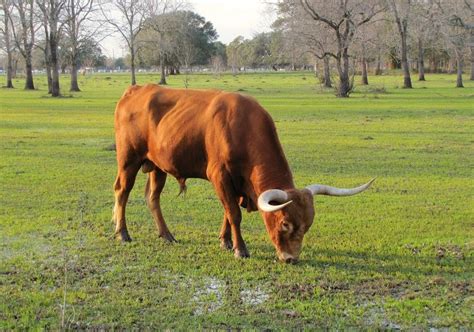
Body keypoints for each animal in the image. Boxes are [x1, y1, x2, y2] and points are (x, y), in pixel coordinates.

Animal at [112, 84, 374, 264]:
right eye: (285, 223)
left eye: (308, 224)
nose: (291, 258)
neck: (242, 127)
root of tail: (135, 89)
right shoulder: (219, 176)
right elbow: (234, 214)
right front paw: (240, 249)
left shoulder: (237, 183)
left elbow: (227, 213)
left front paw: (226, 241)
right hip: (128, 161)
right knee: (122, 192)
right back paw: (122, 233)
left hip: (157, 167)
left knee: (152, 198)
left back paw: (166, 235)